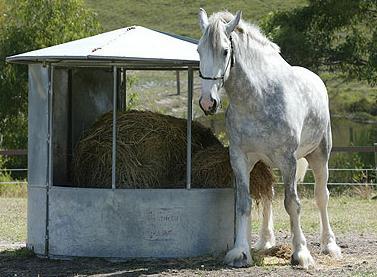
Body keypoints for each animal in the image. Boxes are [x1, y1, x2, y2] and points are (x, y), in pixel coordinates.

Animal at [197, 9, 340, 268]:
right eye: (199, 51)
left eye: (225, 51)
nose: (207, 102)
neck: (258, 97)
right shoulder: (240, 158)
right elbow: (244, 204)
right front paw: (240, 252)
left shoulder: (288, 160)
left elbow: (292, 204)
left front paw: (301, 254)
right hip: (266, 162)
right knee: (268, 196)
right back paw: (265, 241)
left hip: (319, 156)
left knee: (321, 197)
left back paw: (329, 245)